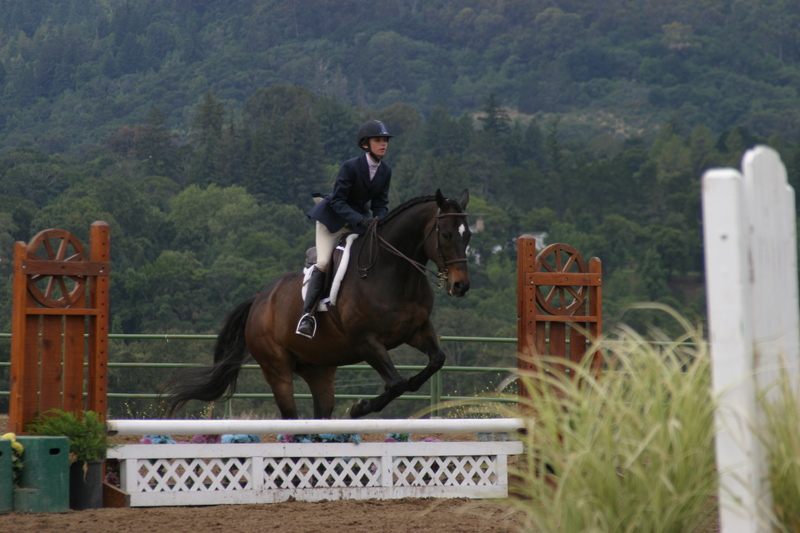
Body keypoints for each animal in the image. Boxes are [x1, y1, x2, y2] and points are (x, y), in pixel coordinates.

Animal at [161, 189, 471, 419]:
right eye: (446, 235)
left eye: (468, 235)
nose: (461, 286)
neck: (394, 270)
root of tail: (259, 301)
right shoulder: (366, 340)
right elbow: (396, 383)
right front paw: (359, 407)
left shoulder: (416, 330)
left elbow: (436, 361)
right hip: (277, 370)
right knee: (290, 416)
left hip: (319, 371)